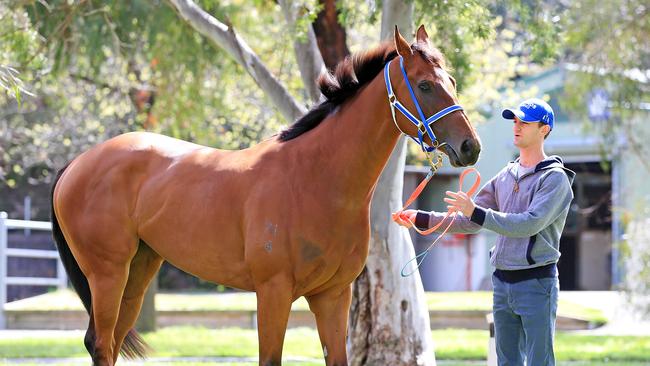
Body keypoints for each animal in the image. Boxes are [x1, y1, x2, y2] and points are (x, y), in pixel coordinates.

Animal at [52, 24, 480, 364]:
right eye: (424, 85)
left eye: (452, 82)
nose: (470, 147)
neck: (314, 179)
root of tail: (76, 164)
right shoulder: (273, 293)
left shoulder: (333, 296)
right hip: (108, 274)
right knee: (101, 344)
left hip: (138, 271)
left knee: (109, 343)